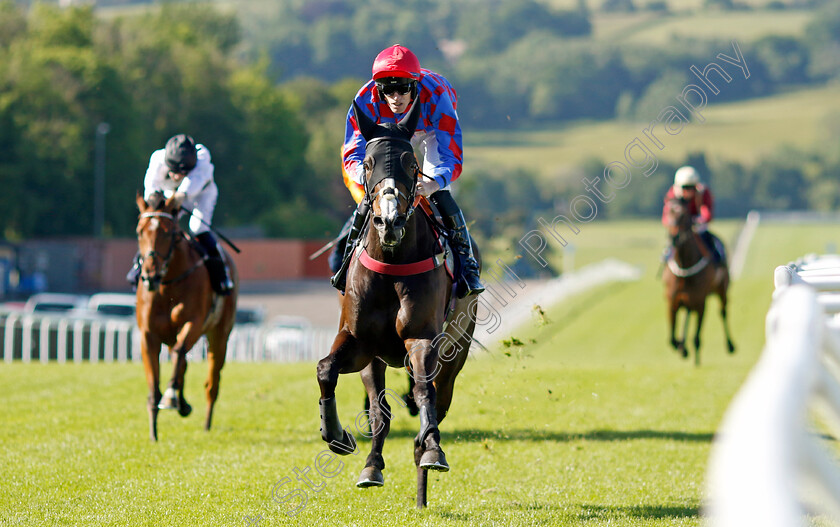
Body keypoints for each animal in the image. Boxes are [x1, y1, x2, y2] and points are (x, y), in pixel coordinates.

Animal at [135, 193, 238, 442]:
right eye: (140, 231)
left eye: (168, 232)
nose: (150, 275)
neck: (167, 284)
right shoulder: (148, 335)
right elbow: (154, 384)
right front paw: (153, 432)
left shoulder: (194, 322)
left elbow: (179, 353)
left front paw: (172, 397)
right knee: (181, 361)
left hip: (219, 334)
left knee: (211, 382)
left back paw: (206, 422)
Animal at [316, 99, 480, 508]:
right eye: (368, 162)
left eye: (410, 161)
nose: (388, 220)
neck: (392, 261)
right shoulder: (360, 344)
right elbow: (328, 371)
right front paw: (338, 438)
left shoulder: (422, 339)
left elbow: (424, 393)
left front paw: (432, 450)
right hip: (375, 360)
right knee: (381, 410)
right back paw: (372, 465)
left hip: (456, 351)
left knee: (437, 400)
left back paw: (424, 470)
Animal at [664, 196, 736, 366]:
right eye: (668, 212)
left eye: (683, 214)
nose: (674, 238)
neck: (685, 266)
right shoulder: (672, 301)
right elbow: (671, 339)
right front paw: (682, 348)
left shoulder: (701, 302)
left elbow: (696, 337)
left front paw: (692, 354)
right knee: (687, 315)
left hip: (721, 290)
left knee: (723, 312)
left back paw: (730, 345)